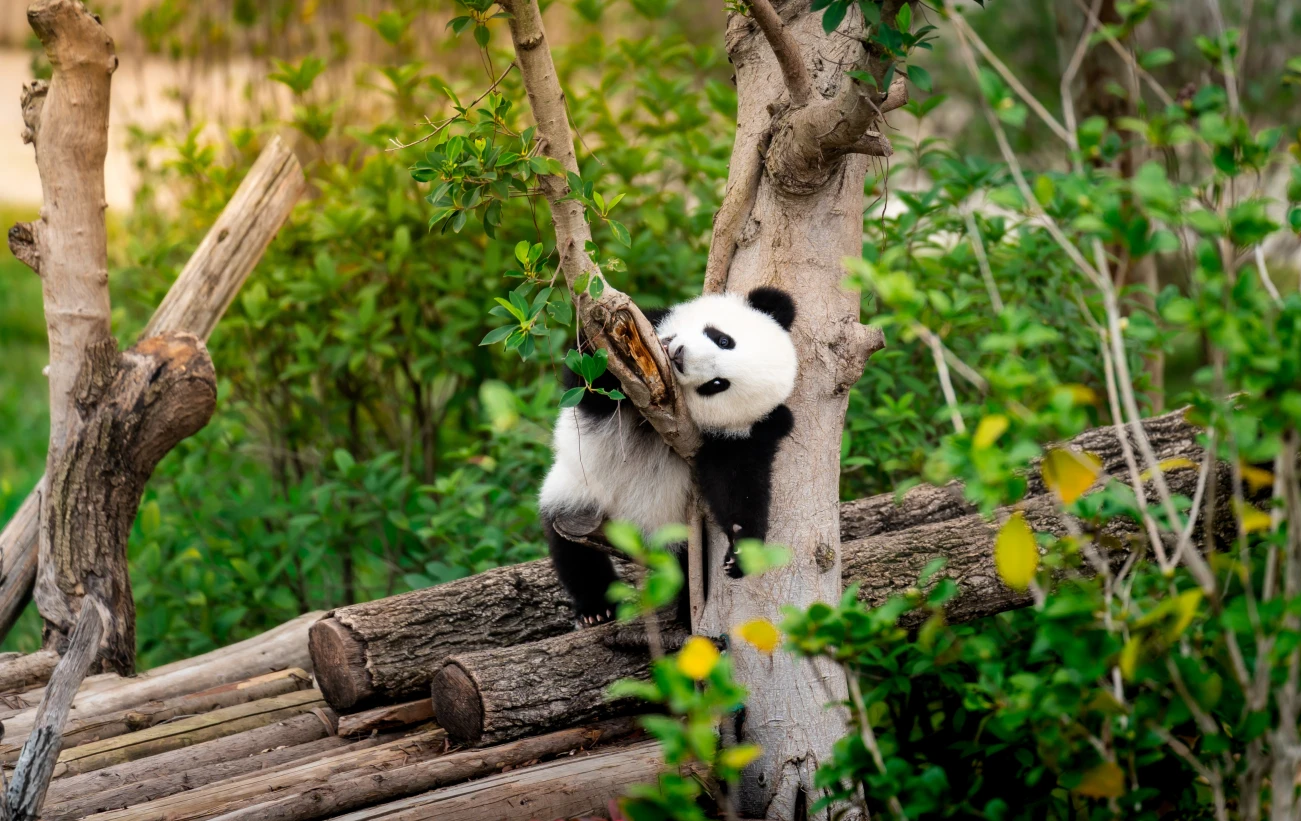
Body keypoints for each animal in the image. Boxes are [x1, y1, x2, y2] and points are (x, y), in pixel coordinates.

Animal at [538, 286, 798, 625]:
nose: (680, 355)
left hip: (674, 527)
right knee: (569, 546)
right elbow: (589, 382)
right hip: (577, 492)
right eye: (723, 340)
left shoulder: (735, 440)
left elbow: (736, 485)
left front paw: (741, 550)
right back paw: (597, 608)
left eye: (717, 384)